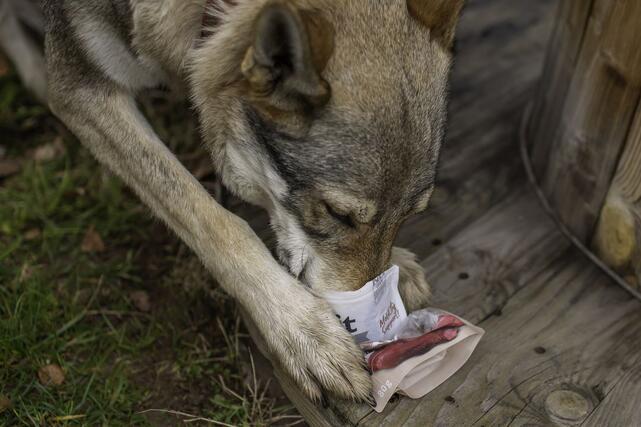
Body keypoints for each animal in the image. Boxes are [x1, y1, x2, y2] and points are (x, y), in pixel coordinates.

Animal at [3, 0, 464, 404]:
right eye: (337, 214)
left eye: (410, 216)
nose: (369, 319)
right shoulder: (83, 90)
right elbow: (216, 220)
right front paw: (302, 330)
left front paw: (397, 267)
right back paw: (35, 78)